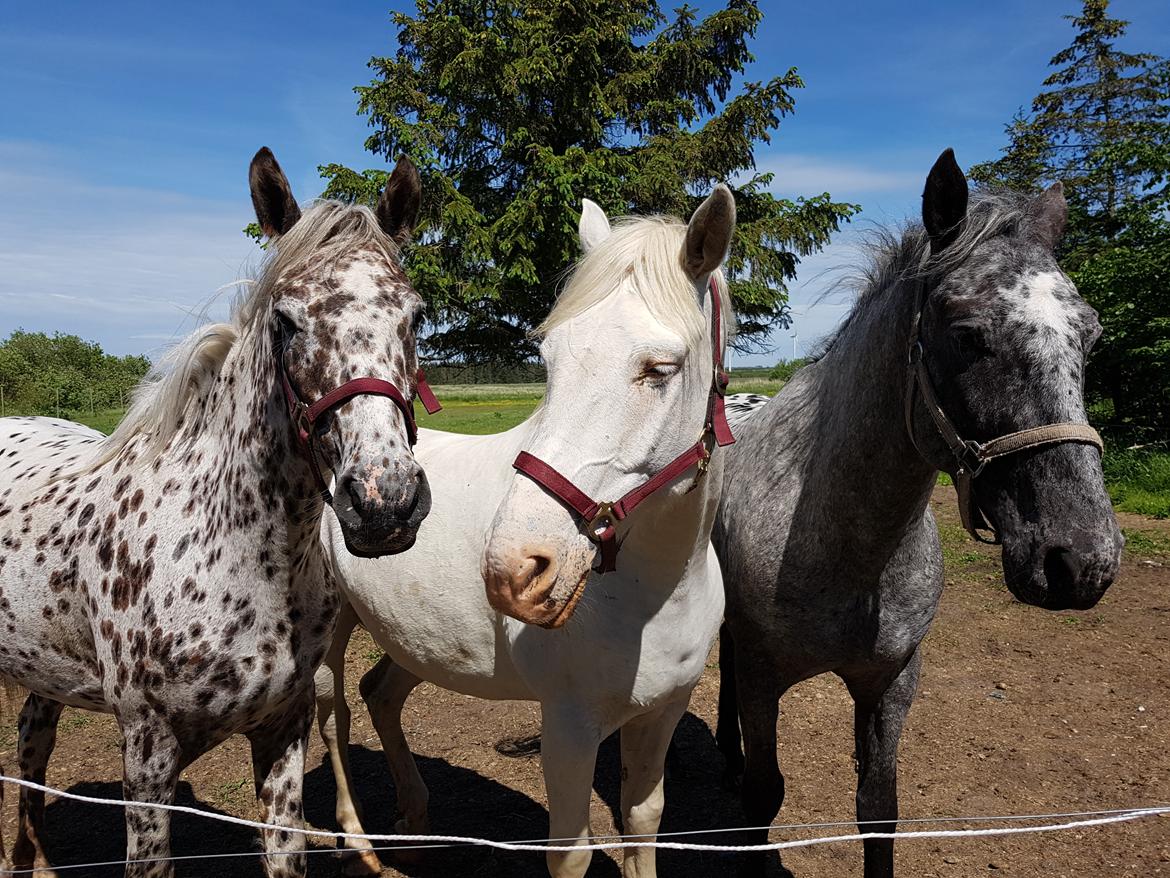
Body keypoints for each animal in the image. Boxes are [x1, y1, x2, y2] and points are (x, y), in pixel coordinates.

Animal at [0, 148, 435, 875]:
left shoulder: (283, 735)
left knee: (32, 751)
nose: (384, 503)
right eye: (285, 320)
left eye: (415, 317)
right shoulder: (147, 757)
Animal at [318, 189, 739, 875]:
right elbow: (571, 853)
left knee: (379, 694)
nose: (514, 569)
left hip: (413, 639)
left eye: (660, 368)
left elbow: (642, 820)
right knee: (332, 714)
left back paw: (415, 817)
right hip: (330, 629)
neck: (654, 591)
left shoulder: (662, 714)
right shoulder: (568, 727)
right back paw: (357, 845)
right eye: (549, 360)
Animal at [711, 148, 1123, 875]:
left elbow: (878, 810)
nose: (1081, 562)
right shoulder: (765, 680)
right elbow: (763, 799)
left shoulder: (892, 683)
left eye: (1092, 335)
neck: (845, 549)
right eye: (966, 335)